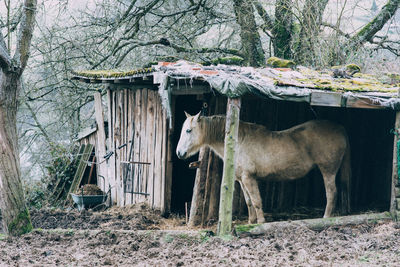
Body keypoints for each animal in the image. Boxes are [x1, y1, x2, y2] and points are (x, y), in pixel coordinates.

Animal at [177, 112, 352, 225]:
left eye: (189, 130)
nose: (179, 153)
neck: (238, 142)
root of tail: (341, 128)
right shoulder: (242, 180)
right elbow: (248, 201)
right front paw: (251, 221)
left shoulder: (249, 178)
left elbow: (256, 201)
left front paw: (260, 221)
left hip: (328, 170)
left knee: (332, 193)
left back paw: (326, 218)